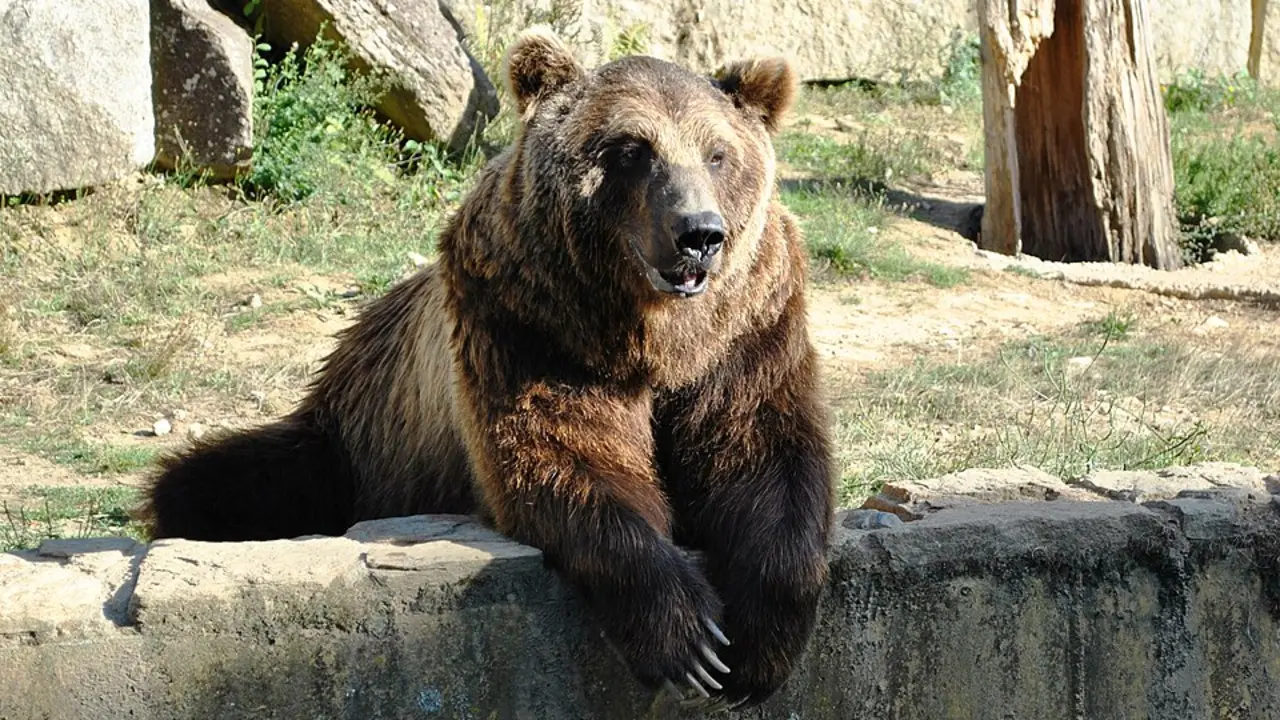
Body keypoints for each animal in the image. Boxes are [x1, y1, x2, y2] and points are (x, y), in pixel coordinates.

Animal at [137, 27, 834, 710]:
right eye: (632, 149)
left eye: (718, 153)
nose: (699, 233)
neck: (651, 335)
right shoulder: (528, 323)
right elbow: (562, 458)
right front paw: (688, 637)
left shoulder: (746, 331)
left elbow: (763, 454)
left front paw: (757, 643)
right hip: (354, 441)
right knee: (214, 479)